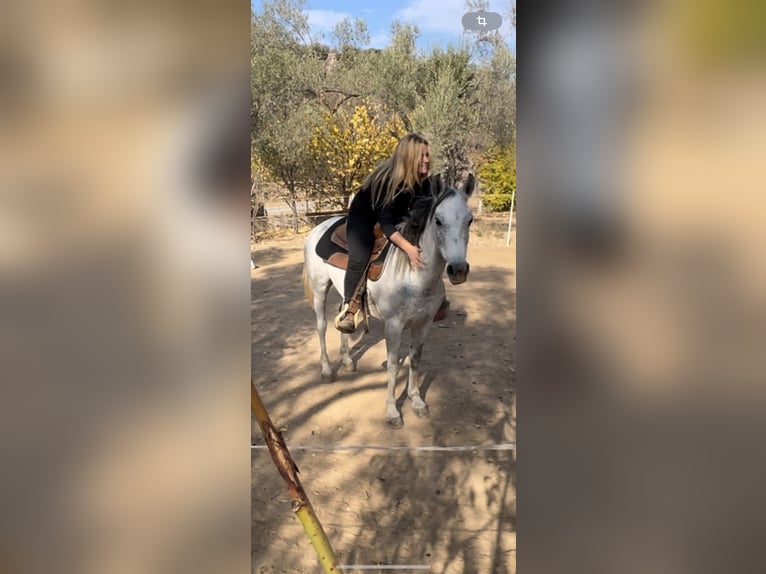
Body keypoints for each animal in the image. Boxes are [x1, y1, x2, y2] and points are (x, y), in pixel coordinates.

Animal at [302, 174, 475, 427]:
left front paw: (417, 401)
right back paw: (326, 371)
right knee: (322, 326)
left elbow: (415, 360)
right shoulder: (393, 325)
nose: (458, 270)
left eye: (470, 220)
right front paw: (392, 411)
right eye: (438, 221)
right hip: (320, 288)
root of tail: (318, 228)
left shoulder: (423, 323)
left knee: (342, 320)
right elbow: (393, 366)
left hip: (343, 292)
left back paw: (347, 361)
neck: (414, 275)